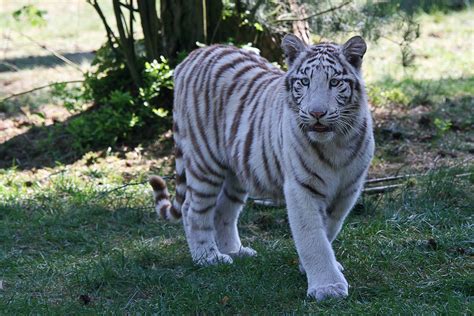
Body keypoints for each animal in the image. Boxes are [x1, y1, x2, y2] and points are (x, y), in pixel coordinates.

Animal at [148, 34, 374, 302]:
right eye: (305, 82)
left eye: (335, 82)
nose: (317, 113)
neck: (337, 143)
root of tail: (193, 56)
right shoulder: (301, 188)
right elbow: (313, 238)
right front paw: (327, 287)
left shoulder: (348, 190)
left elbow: (328, 230)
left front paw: (310, 268)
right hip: (205, 161)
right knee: (192, 209)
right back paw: (208, 257)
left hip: (236, 172)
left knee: (223, 210)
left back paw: (236, 251)